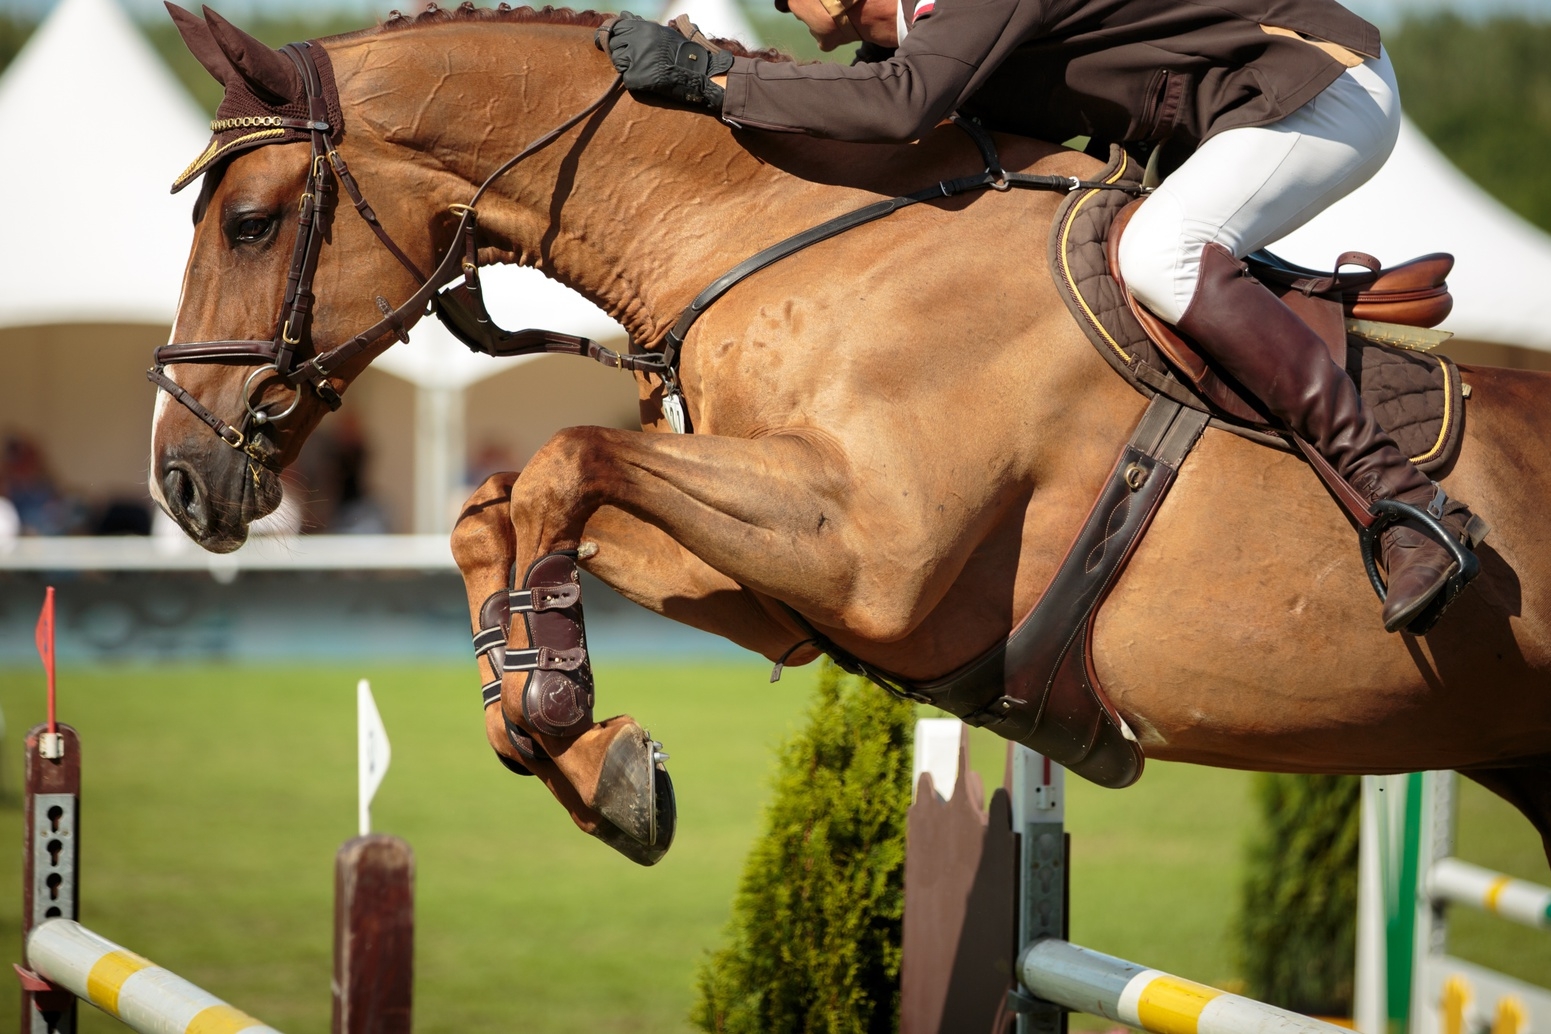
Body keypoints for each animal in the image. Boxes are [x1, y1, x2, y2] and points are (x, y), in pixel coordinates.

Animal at [148, 4, 1551, 868]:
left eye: (251, 224)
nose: (180, 477)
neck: (787, 235)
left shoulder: (872, 556)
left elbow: (560, 463)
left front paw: (554, 699)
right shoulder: (793, 589)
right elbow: (491, 505)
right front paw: (585, 747)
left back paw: (1418, 545)